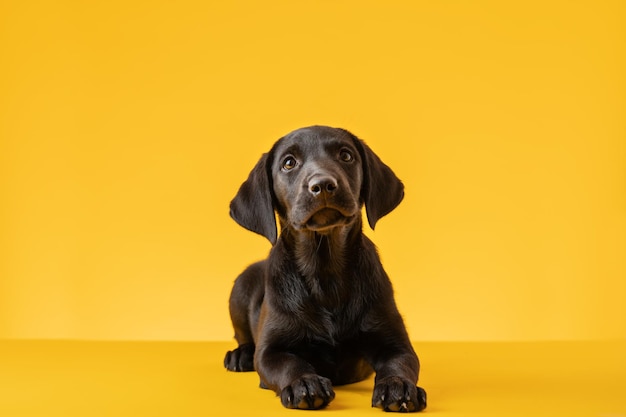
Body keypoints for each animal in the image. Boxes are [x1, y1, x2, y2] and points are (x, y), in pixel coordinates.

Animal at [223, 125, 424, 412]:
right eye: (288, 163)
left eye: (346, 155)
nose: (323, 185)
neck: (324, 271)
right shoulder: (270, 351)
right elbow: (289, 362)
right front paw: (304, 383)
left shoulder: (396, 343)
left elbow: (400, 363)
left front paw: (398, 386)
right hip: (240, 288)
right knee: (242, 336)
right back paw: (240, 355)